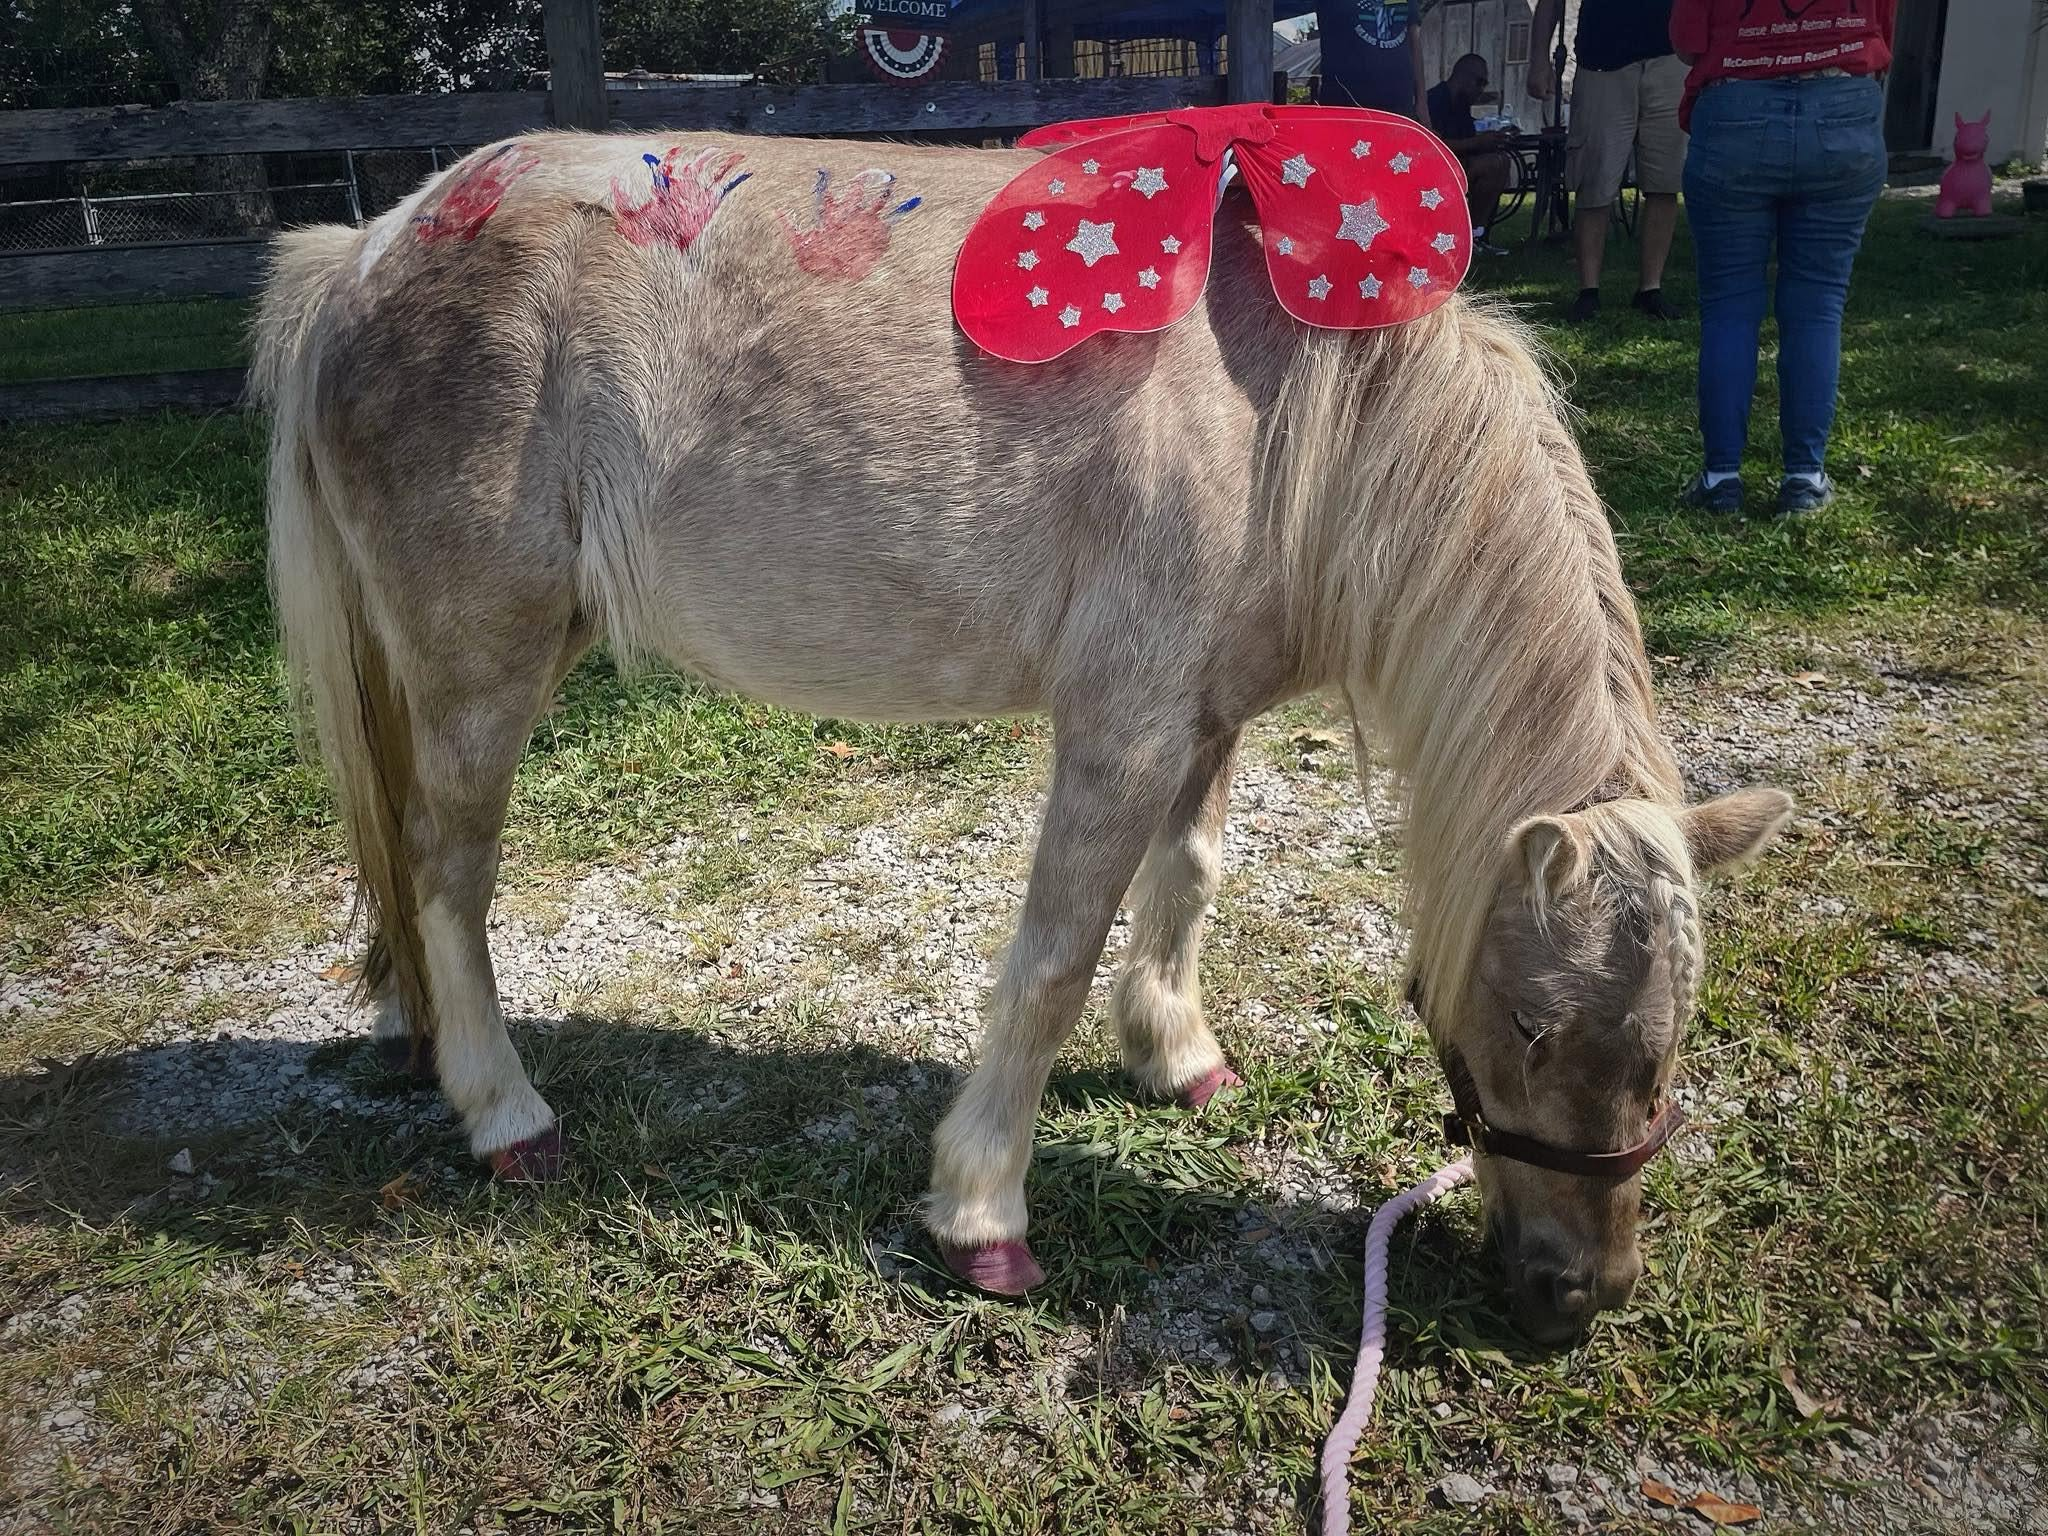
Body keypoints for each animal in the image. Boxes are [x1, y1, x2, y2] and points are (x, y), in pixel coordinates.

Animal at [253, 129, 1793, 1341]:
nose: (1576, 1295)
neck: (1289, 414)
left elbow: (1189, 880)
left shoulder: (1204, 715)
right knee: (447, 871)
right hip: (482, 663)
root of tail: (372, 246)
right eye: (1533, 1022)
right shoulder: (1118, 733)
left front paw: (1175, 1054)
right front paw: (982, 1211)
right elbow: (1051, 963)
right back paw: (503, 1111)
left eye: (1674, 1038)